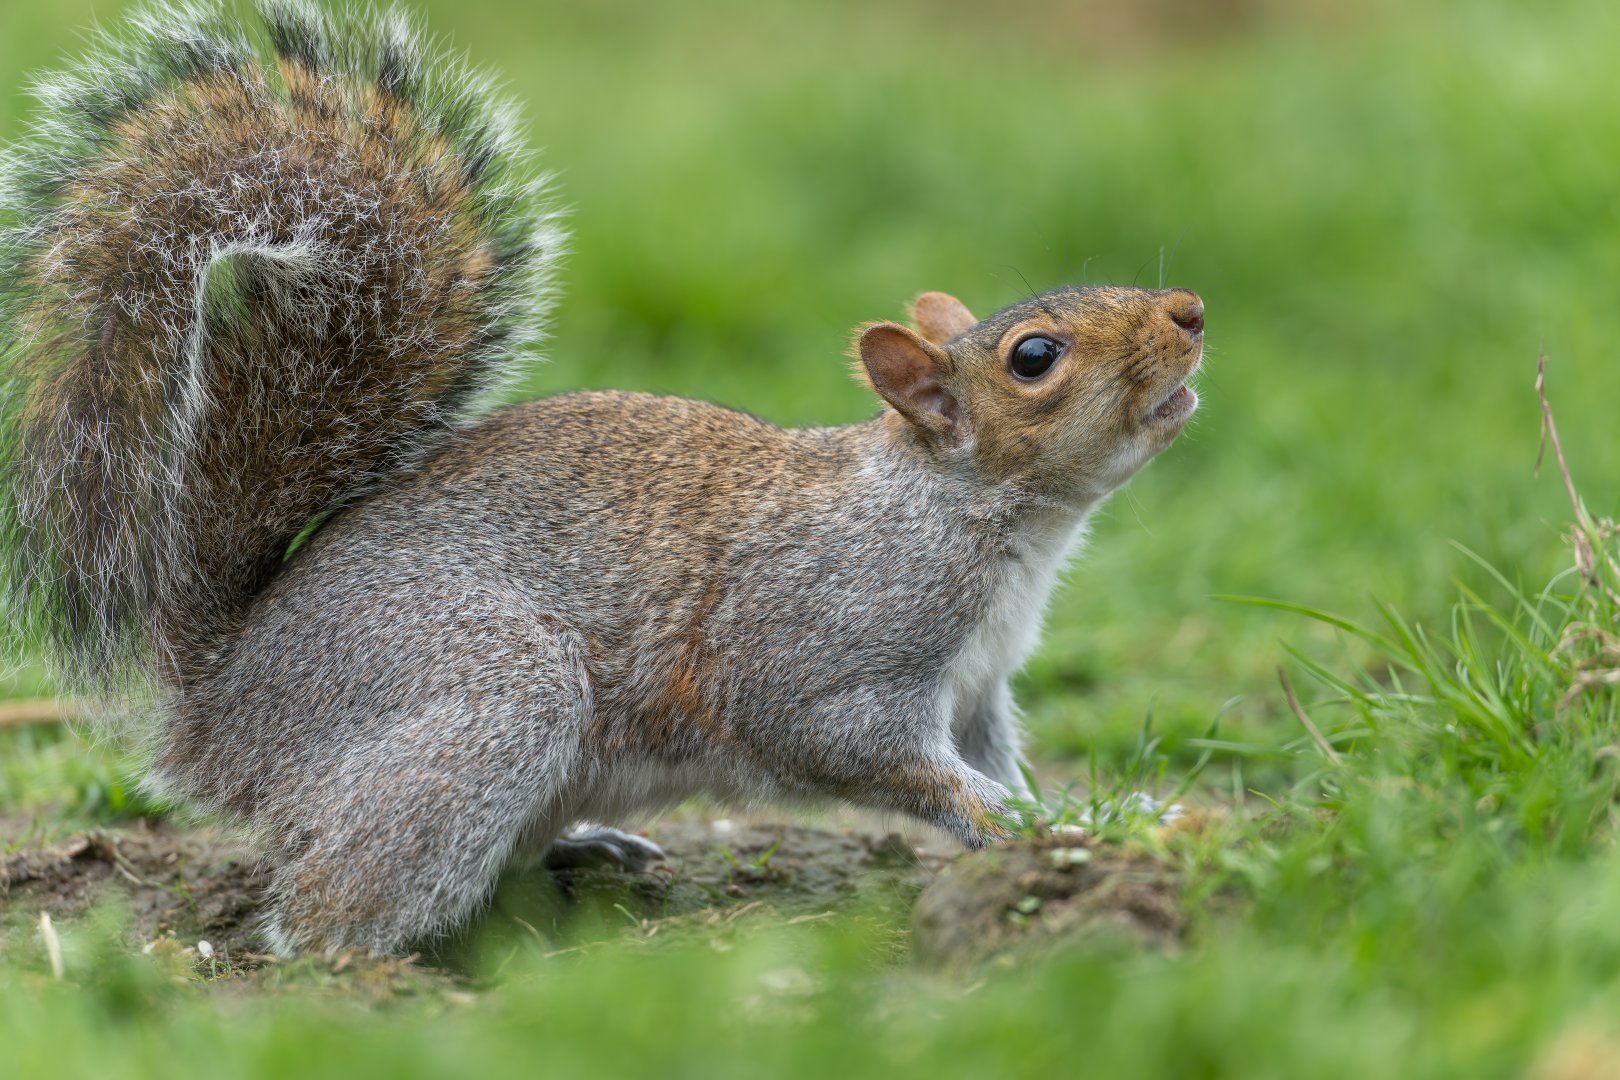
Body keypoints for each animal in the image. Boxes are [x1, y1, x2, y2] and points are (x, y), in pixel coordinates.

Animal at [0, 1, 1204, 955]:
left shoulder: (981, 688)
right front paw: (1027, 831)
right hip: (485, 699)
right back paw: (375, 967)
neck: (982, 518)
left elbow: (999, 760)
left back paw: (584, 853)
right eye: (1035, 357)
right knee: (325, 906)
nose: (1191, 312)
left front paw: (1106, 816)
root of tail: (221, 709)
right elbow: (857, 745)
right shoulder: (835, 636)